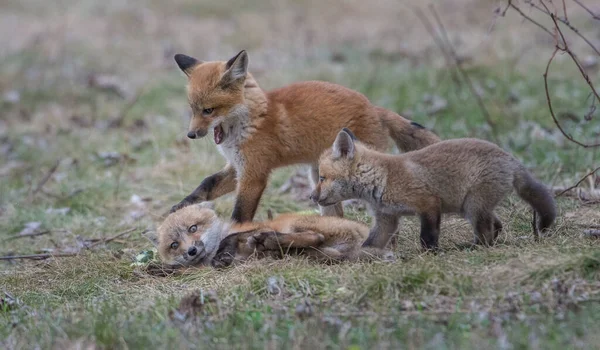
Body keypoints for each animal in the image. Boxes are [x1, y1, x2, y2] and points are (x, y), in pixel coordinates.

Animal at [144, 204, 390, 266]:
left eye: (193, 228)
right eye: (174, 245)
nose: (192, 250)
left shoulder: (246, 231)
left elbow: (229, 240)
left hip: (295, 224)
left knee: (314, 236)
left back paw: (268, 240)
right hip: (318, 254)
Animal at [169, 50, 440, 224]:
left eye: (209, 110)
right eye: (193, 109)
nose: (191, 134)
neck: (250, 122)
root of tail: (374, 107)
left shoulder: (254, 174)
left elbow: (239, 215)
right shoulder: (237, 167)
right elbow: (206, 185)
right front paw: (181, 207)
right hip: (319, 179)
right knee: (336, 215)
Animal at [312, 130, 556, 250]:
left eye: (322, 178)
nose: (311, 197)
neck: (383, 178)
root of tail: (510, 159)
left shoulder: (428, 204)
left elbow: (427, 236)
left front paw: (428, 253)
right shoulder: (387, 218)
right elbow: (371, 243)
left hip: (473, 207)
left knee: (486, 233)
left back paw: (472, 248)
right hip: (473, 208)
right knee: (497, 225)